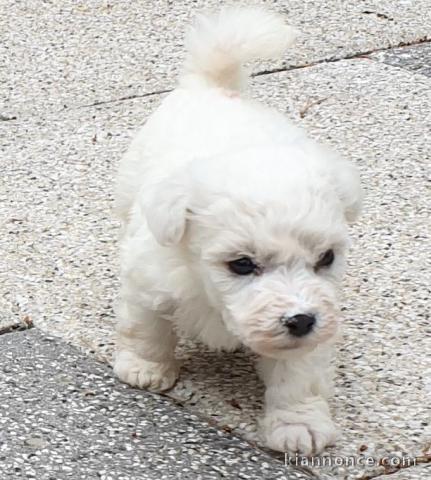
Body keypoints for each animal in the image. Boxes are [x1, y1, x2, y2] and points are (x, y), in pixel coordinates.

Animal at [113, 7, 362, 458]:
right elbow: (147, 328)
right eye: (242, 265)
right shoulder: (149, 281)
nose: (301, 320)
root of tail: (215, 86)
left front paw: (299, 424)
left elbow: (298, 375)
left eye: (327, 258)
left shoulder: (313, 324)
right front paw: (145, 368)